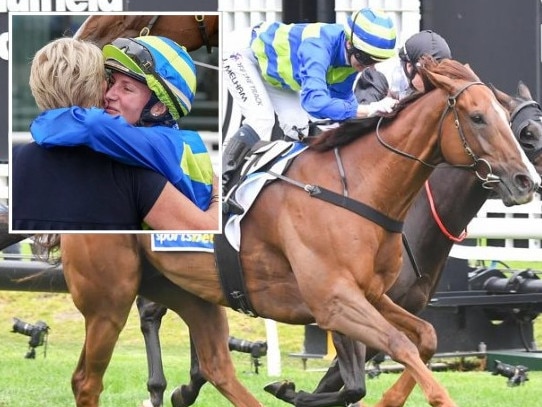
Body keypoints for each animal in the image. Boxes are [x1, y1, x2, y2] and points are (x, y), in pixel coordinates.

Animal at [56, 58, 542, 407]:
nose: (525, 181)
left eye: (506, 121)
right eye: (478, 118)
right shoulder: (334, 302)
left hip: (191, 290)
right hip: (110, 297)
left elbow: (422, 339)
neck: (359, 189)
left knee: (215, 365)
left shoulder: (371, 295)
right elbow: (390, 352)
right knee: (88, 377)